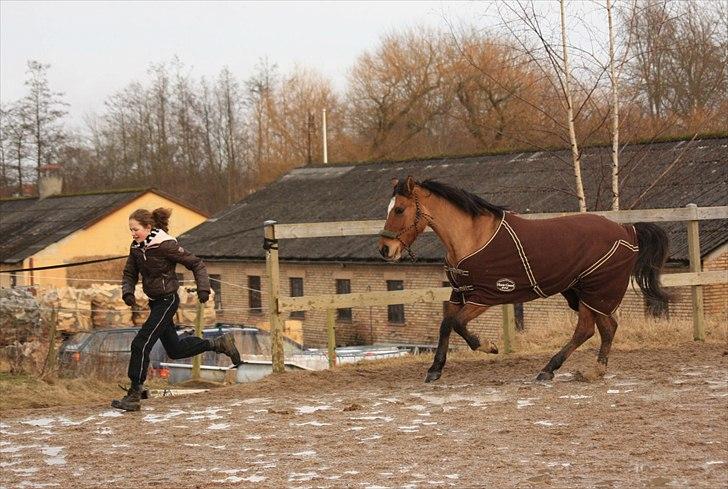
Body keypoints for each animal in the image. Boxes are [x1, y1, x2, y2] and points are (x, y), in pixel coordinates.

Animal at [378, 177, 668, 384]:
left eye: (400, 209)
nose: (385, 250)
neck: (472, 237)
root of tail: (627, 230)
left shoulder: (484, 296)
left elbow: (457, 324)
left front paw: (489, 347)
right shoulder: (459, 292)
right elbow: (445, 325)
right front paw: (434, 369)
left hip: (596, 291)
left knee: (587, 330)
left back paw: (549, 370)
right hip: (582, 292)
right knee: (607, 328)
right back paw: (592, 372)